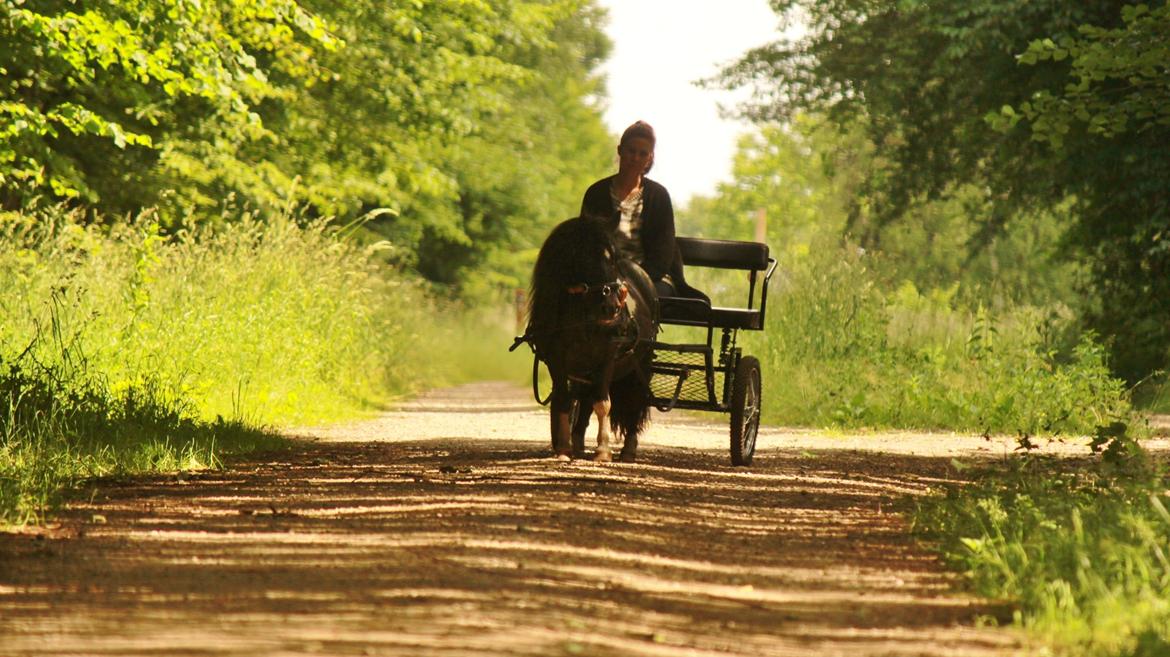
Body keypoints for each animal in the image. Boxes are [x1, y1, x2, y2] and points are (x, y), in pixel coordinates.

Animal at [524, 216, 655, 460]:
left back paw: (628, 449)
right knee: (584, 402)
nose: (612, 307)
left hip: (640, 364)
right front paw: (563, 449)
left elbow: (603, 404)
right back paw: (576, 443)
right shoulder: (557, 360)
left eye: (612, 261)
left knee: (635, 400)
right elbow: (563, 400)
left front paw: (603, 451)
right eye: (582, 257)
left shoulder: (607, 357)